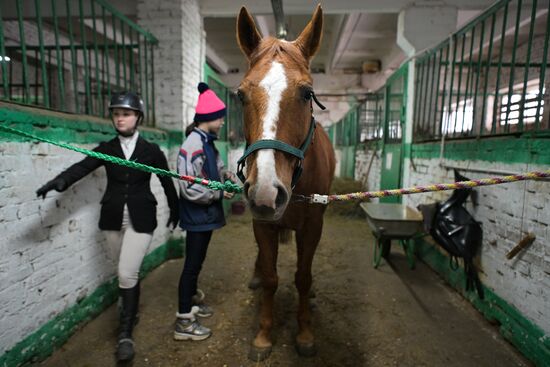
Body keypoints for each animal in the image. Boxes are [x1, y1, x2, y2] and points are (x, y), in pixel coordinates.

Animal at [234, 5, 334, 362]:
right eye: (241, 94)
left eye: (307, 93)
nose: (266, 191)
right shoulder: (262, 225)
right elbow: (271, 278)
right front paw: (264, 335)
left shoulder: (314, 225)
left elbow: (302, 278)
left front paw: (305, 333)